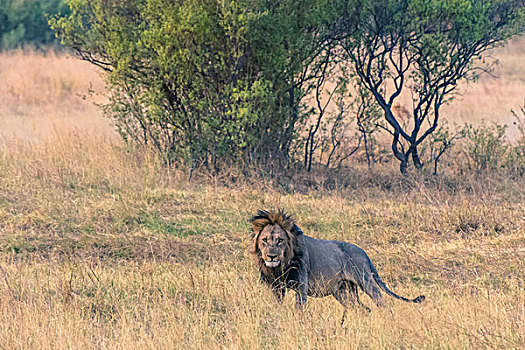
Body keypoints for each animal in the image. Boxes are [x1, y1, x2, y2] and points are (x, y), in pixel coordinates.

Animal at [248, 209, 424, 310]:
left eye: (280, 240)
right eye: (264, 240)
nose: (271, 255)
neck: (280, 266)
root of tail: (363, 252)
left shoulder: (301, 286)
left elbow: (299, 309)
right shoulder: (276, 288)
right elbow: (276, 306)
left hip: (365, 281)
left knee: (383, 303)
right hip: (343, 292)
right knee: (364, 309)